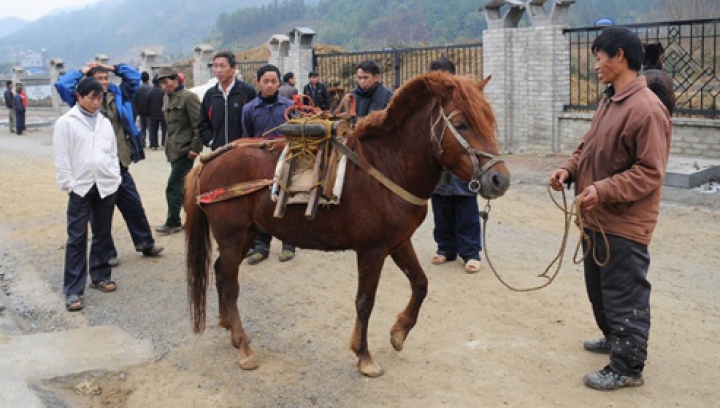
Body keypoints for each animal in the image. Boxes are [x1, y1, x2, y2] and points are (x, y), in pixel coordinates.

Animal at [186, 71, 512, 378]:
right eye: (461, 125)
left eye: (489, 121)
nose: (500, 180)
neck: (387, 165)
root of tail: (209, 160)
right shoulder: (372, 250)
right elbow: (365, 301)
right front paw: (364, 357)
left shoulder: (399, 242)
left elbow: (420, 284)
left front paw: (399, 332)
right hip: (232, 236)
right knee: (230, 284)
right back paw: (243, 347)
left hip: (246, 235)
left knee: (220, 273)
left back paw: (228, 325)